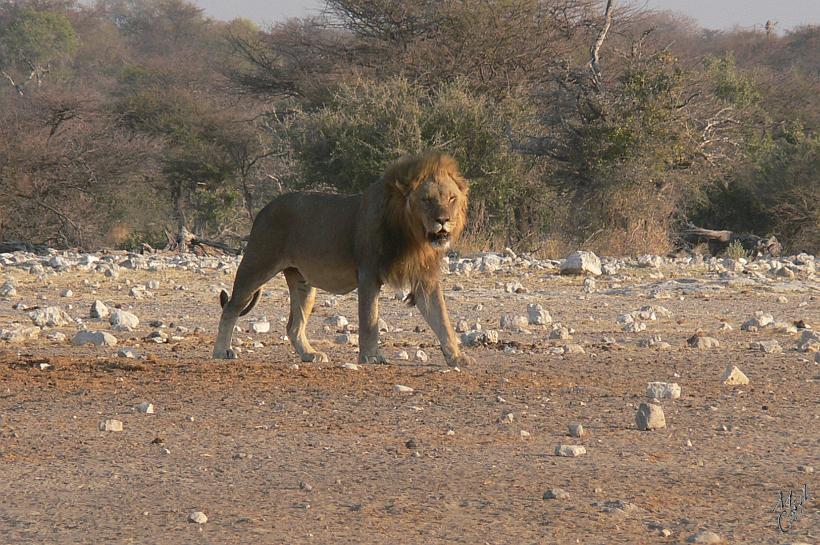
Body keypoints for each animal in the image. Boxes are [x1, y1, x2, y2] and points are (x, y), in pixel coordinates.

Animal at [213, 151, 475, 367]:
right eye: (427, 200)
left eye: (452, 199)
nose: (443, 220)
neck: (414, 236)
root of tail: (264, 208)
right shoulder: (368, 273)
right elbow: (369, 319)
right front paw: (371, 357)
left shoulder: (425, 279)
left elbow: (442, 319)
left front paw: (457, 357)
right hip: (257, 264)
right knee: (231, 308)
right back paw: (221, 351)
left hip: (302, 282)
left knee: (293, 325)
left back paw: (309, 354)